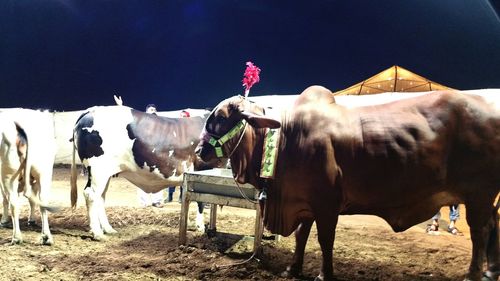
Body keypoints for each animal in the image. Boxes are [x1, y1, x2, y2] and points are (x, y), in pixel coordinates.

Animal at [0, 108, 57, 244]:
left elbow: (4, 199)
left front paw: (3, 220)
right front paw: (31, 219)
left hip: (8, 175)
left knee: (13, 202)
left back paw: (16, 237)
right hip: (44, 172)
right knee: (43, 201)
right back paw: (46, 237)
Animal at [70, 105, 223, 241]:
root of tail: (91, 110)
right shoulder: (202, 168)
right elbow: (201, 202)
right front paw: (200, 227)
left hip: (105, 173)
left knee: (100, 197)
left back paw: (108, 229)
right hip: (98, 170)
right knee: (91, 195)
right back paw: (98, 233)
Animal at [196, 85, 500, 280]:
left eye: (220, 118)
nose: (199, 151)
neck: (286, 137)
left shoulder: (326, 204)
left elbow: (324, 239)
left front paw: (324, 274)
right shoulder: (305, 203)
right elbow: (301, 236)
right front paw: (293, 269)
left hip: (479, 193)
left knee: (480, 231)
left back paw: (473, 274)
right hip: (487, 197)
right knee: (493, 225)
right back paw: (490, 270)